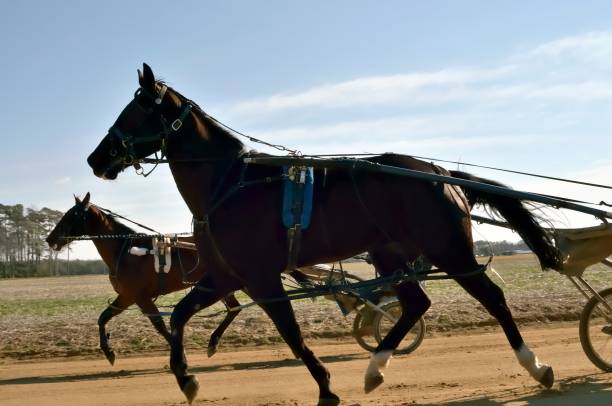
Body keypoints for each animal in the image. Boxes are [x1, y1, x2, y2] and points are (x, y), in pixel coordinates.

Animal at [46, 193, 241, 364]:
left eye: (71, 215)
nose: (50, 239)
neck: (125, 251)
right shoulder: (127, 296)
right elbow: (103, 318)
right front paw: (109, 352)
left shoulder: (140, 297)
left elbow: (159, 324)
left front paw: (181, 353)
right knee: (234, 308)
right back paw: (213, 342)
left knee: (234, 307)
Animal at [87, 62, 564, 402]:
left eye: (136, 110)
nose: (96, 158)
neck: (229, 183)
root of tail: (441, 173)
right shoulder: (226, 274)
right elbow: (182, 315)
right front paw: (186, 378)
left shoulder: (261, 277)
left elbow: (292, 335)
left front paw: (326, 387)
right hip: (390, 252)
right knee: (415, 303)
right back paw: (375, 369)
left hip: (448, 248)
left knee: (492, 297)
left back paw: (537, 366)